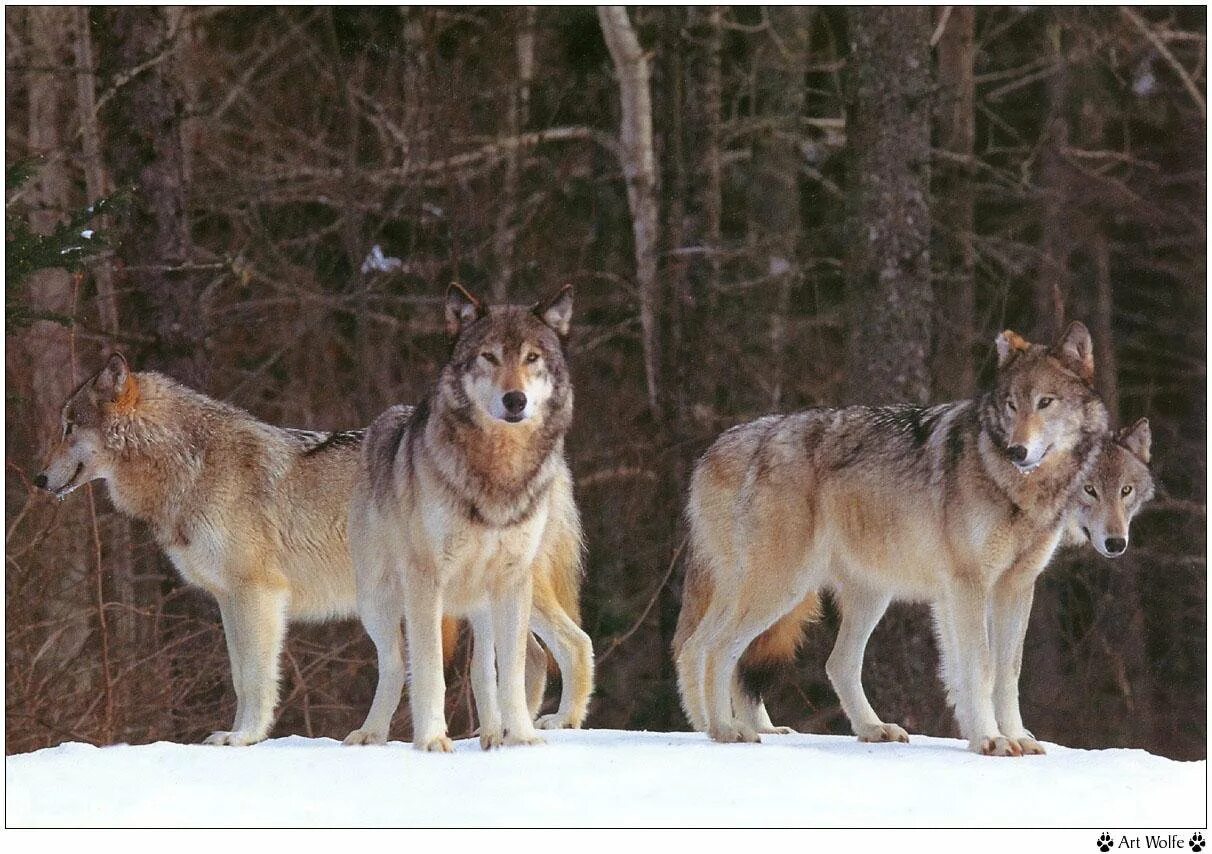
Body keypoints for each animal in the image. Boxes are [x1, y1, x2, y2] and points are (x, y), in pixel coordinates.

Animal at [33, 348, 591, 741]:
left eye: (67, 427)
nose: (38, 479)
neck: (189, 466)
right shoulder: (228, 600)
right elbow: (241, 674)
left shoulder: (257, 595)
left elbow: (255, 679)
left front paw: (242, 737)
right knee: (534, 656)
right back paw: (499, 731)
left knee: (574, 643)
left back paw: (558, 723)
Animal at [341, 283, 586, 751]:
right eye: (488, 357)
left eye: (532, 358)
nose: (515, 400)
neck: (496, 474)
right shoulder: (426, 581)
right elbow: (431, 672)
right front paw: (432, 739)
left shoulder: (512, 578)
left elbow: (507, 674)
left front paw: (522, 738)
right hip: (378, 598)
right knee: (395, 664)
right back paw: (373, 733)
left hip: (498, 597)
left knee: (534, 655)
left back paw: (519, 729)